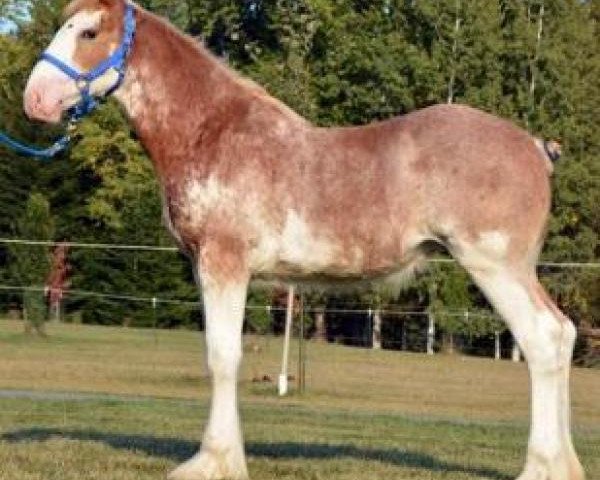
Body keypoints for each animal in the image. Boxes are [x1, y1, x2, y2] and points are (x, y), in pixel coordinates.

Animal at [23, 0, 584, 480]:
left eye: (88, 33)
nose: (35, 100)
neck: (213, 133)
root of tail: (537, 147)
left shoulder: (224, 263)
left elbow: (222, 358)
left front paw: (213, 462)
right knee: (562, 336)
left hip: (495, 266)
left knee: (542, 340)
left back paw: (540, 467)